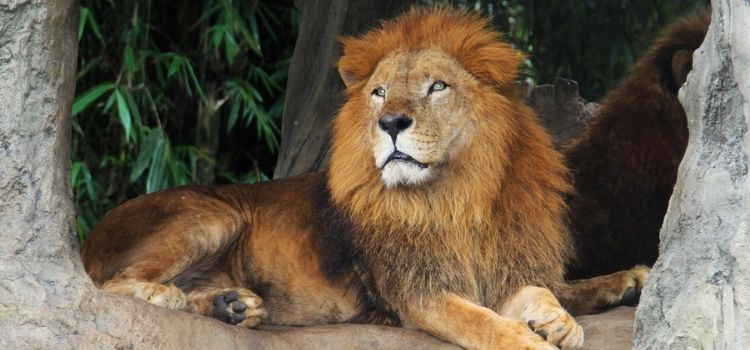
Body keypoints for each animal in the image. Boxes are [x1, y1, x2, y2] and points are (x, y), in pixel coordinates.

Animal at [81, 8, 648, 350]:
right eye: (378, 93)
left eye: (437, 87)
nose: (391, 122)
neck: (459, 196)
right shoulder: (418, 294)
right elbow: (482, 323)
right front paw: (528, 338)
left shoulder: (502, 268)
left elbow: (547, 289)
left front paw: (560, 317)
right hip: (213, 214)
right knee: (111, 282)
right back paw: (173, 297)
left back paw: (230, 305)